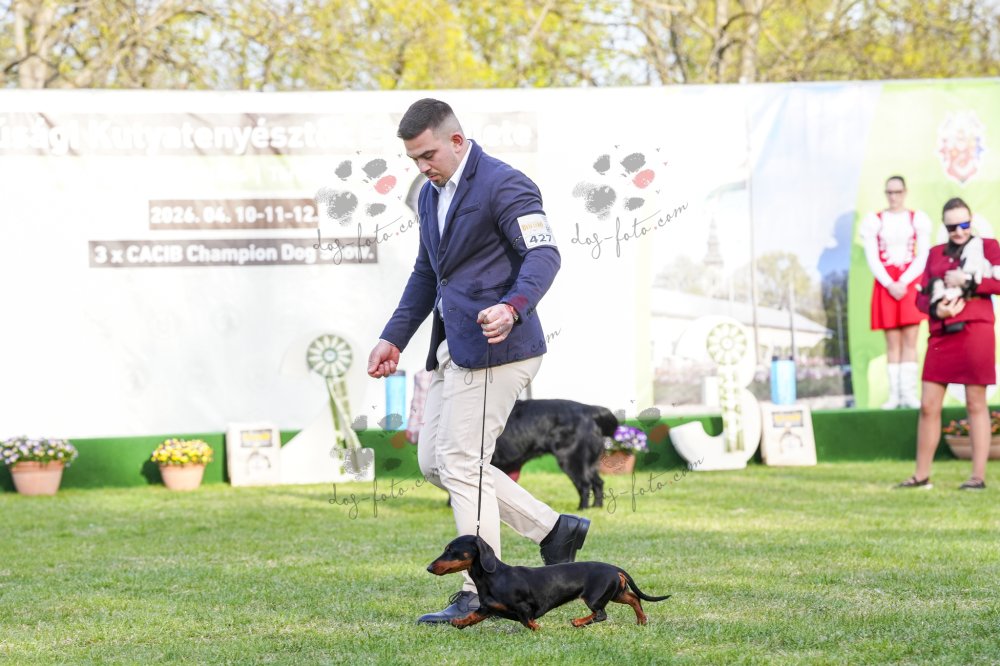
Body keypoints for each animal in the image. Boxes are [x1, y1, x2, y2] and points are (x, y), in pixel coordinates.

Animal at [427, 535, 670, 630]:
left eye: (450, 550)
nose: (429, 568)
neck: (494, 577)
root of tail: (614, 568)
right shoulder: (486, 608)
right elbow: (473, 616)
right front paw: (458, 622)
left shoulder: (524, 607)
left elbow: (528, 621)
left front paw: (538, 628)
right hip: (615, 593)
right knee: (634, 598)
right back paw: (641, 620)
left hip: (593, 597)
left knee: (601, 614)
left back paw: (579, 622)